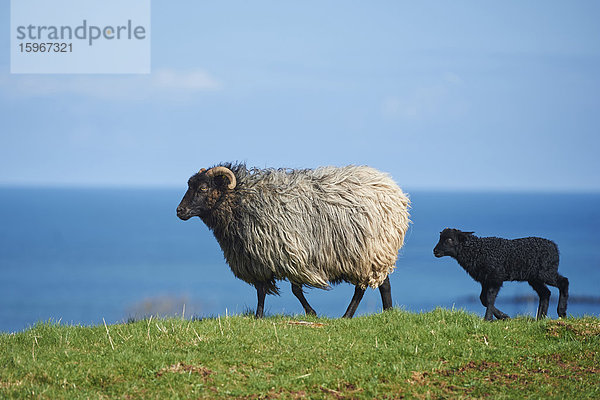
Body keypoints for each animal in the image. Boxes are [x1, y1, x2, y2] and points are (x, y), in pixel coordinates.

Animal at [176, 162, 410, 318]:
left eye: (203, 188)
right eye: (190, 185)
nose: (180, 211)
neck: (242, 200)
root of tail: (393, 190)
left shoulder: (293, 254)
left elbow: (295, 290)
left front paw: (311, 312)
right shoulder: (257, 259)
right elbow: (261, 290)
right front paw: (258, 316)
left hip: (368, 251)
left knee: (370, 286)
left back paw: (357, 315)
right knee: (377, 284)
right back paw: (383, 312)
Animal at [434, 230, 568, 320]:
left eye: (450, 239)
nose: (435, 251)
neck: (477, 251)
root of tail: (554, 247)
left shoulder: (496, 278)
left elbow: (489, 298)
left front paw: (488, 319)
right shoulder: (485, 280)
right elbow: (483, 299)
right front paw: (503, 316)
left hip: (546, 272)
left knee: (563, 281)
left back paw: (561, 312)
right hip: (534, 278)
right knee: (545, 293)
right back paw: (540, 318)